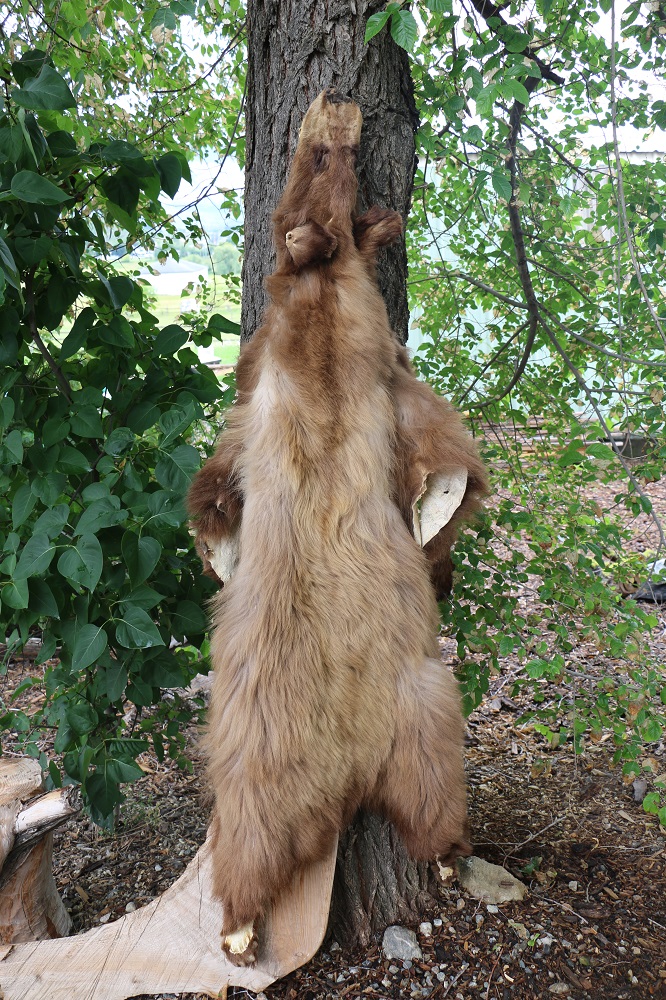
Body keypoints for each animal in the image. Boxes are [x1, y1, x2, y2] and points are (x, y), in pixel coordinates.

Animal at [187, 88, 487, 966]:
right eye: (316, 157)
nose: (336, 98)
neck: (319, 308)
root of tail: (349, 773)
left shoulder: (368, 366)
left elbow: (442, 462)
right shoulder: (308, 369)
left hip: (420, 713)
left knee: (422, 807)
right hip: (271, 742)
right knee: (252, 840)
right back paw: (242, 930)